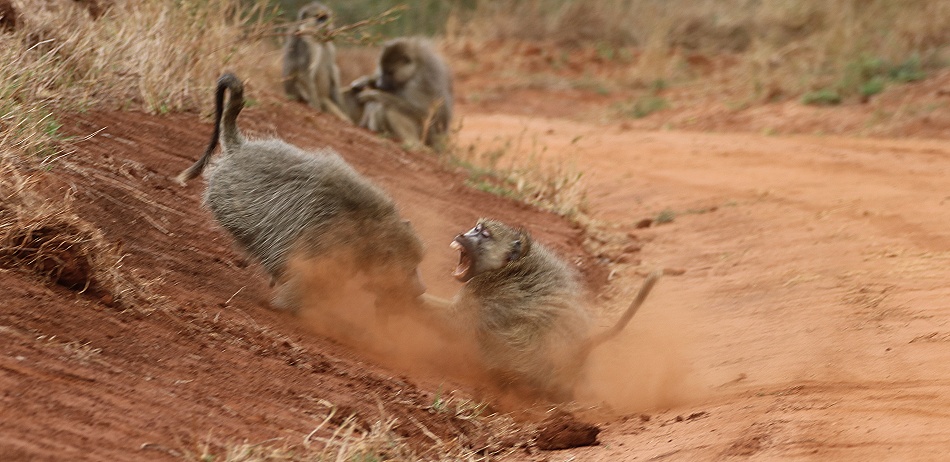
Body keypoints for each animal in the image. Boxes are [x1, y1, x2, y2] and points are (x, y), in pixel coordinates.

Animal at [176, 72, 426, 312]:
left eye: (416, 265)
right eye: (409, 268)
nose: (420, 291)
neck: (369, 231)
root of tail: (242, 149)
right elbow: (303, 281)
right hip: (232, 200)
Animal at [424, 218, 661, 402]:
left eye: (484, 234)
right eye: (475, 228)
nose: (462, 235)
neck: (508, 267)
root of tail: (580, 352)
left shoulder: (492, 294)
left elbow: (454, 324)